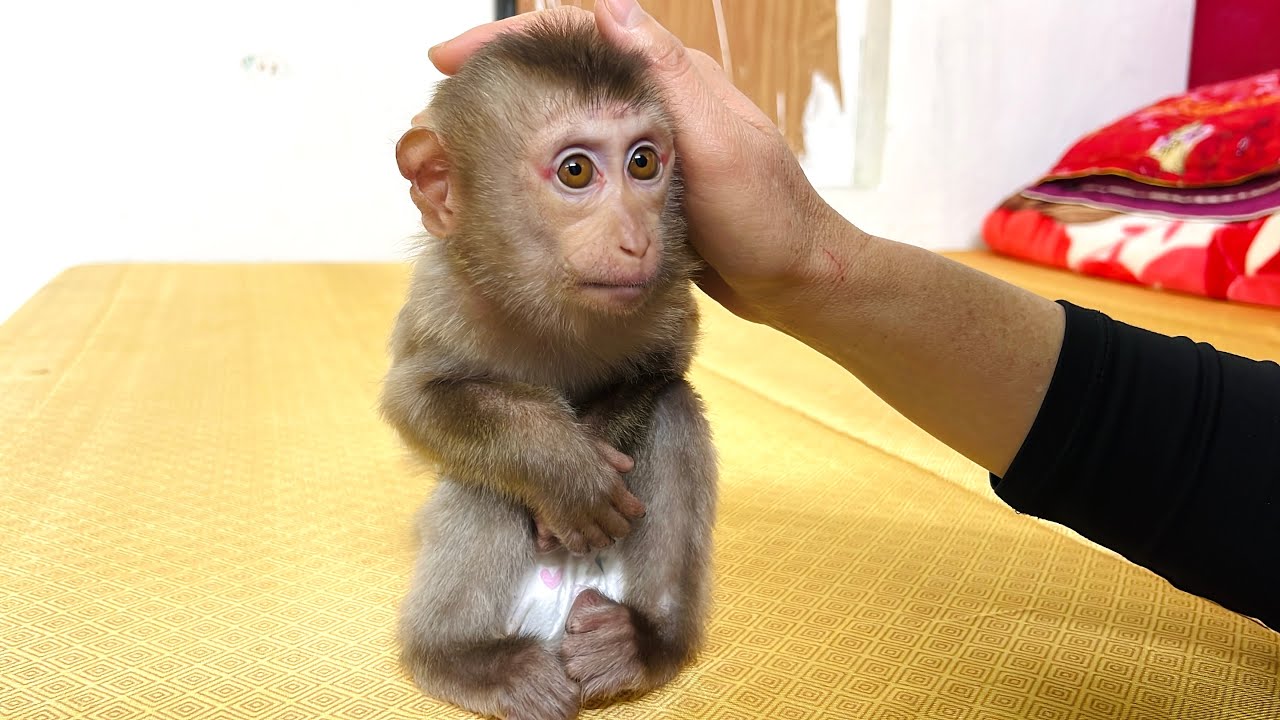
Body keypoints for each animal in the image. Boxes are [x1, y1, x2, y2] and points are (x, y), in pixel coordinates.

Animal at [379, 13, 717, 720]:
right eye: (576, 172)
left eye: (644, 161)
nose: (637, 238)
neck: (553, 305)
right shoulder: (443, 296)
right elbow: (418, 400)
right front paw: (566, 472)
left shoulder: (665, 292)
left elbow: (663, 365)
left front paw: (595, 445)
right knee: (481, 479)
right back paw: (467, 659)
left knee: (673, 407)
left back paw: (642, 640)